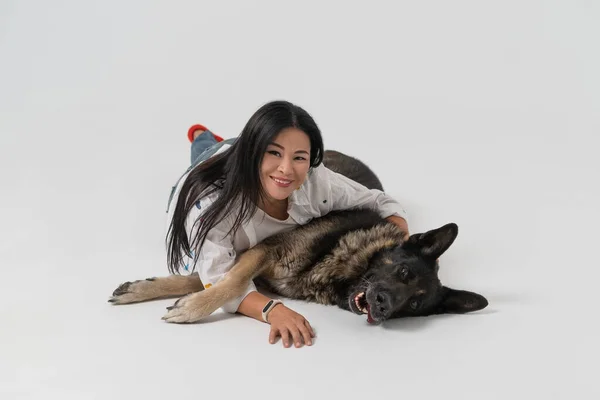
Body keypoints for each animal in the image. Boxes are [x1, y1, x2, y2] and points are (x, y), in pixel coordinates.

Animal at [111, 148, 488, 324]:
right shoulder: (265, 251)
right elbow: (228, 282)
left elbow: (217, 280)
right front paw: (188, 306)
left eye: (413, 305)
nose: (383, 304)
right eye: (403, 271)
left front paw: (158, 292)